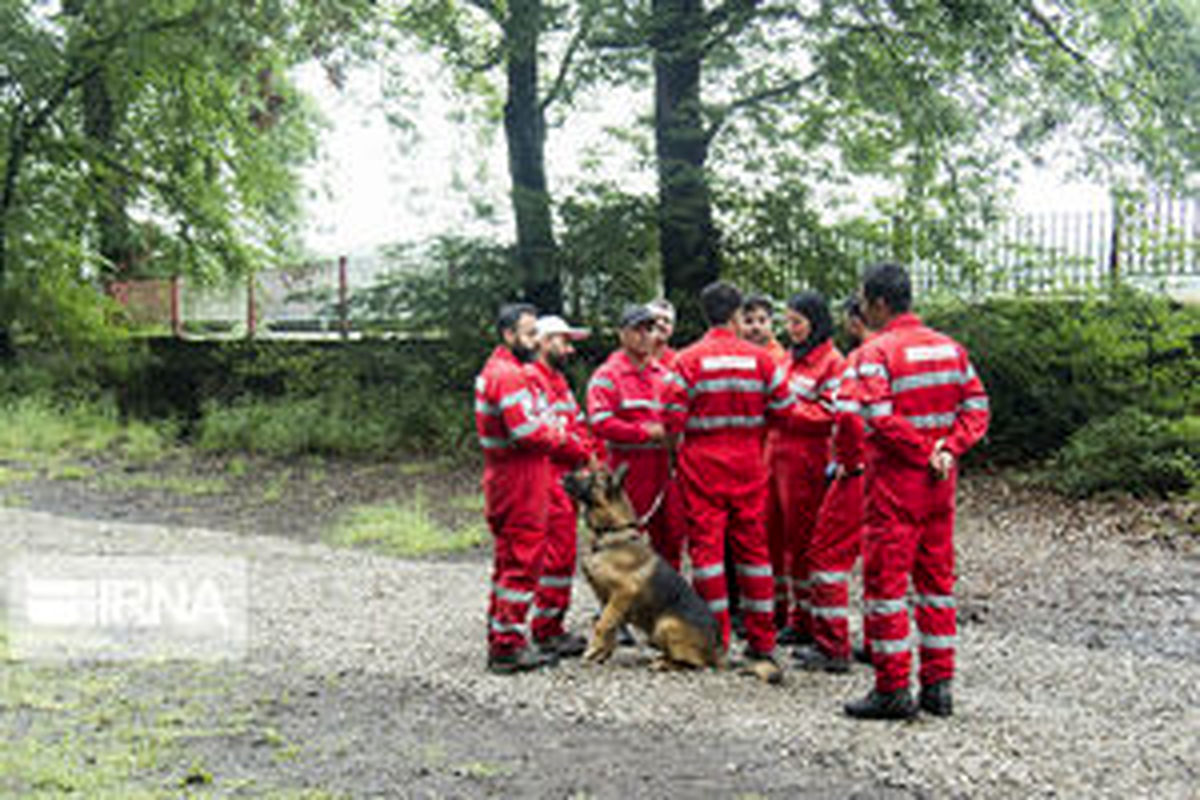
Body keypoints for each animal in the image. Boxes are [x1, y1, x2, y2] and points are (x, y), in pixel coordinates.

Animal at [561, 462, 720, 671]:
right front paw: (602, 653)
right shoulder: (607, 599)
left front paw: (593, 650)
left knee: (693, 663)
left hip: (666, 624)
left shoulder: (624, 592)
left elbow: (602, 624)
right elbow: (609, 626)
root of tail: (716, 652)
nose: (564, 476)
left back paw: (664, 663)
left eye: (592, 477)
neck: (612, 531)